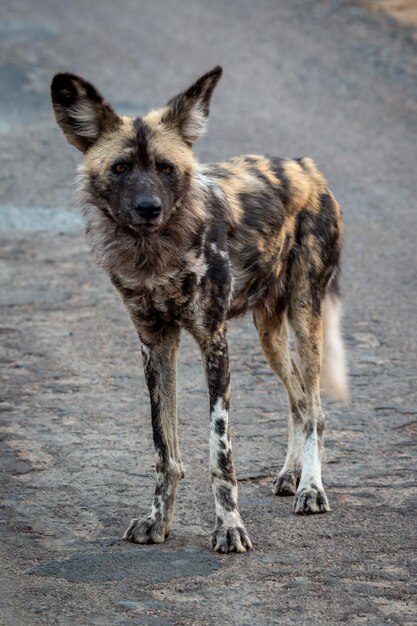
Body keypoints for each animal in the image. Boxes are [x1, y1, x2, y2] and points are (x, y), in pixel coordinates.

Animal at [50, 64, 346, 552]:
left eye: (166, 168)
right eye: (120, 167)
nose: (148, 208)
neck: (155, 255)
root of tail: (308, 166)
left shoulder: (214, 344)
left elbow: (219, 455)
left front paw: (229, 528)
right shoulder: (155, 344)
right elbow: (164, 451)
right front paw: (158, 521)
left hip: (306, 317)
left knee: (315, 408)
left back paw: (311, 488)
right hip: (269, 334)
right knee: (300, 400)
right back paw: (291, 474)